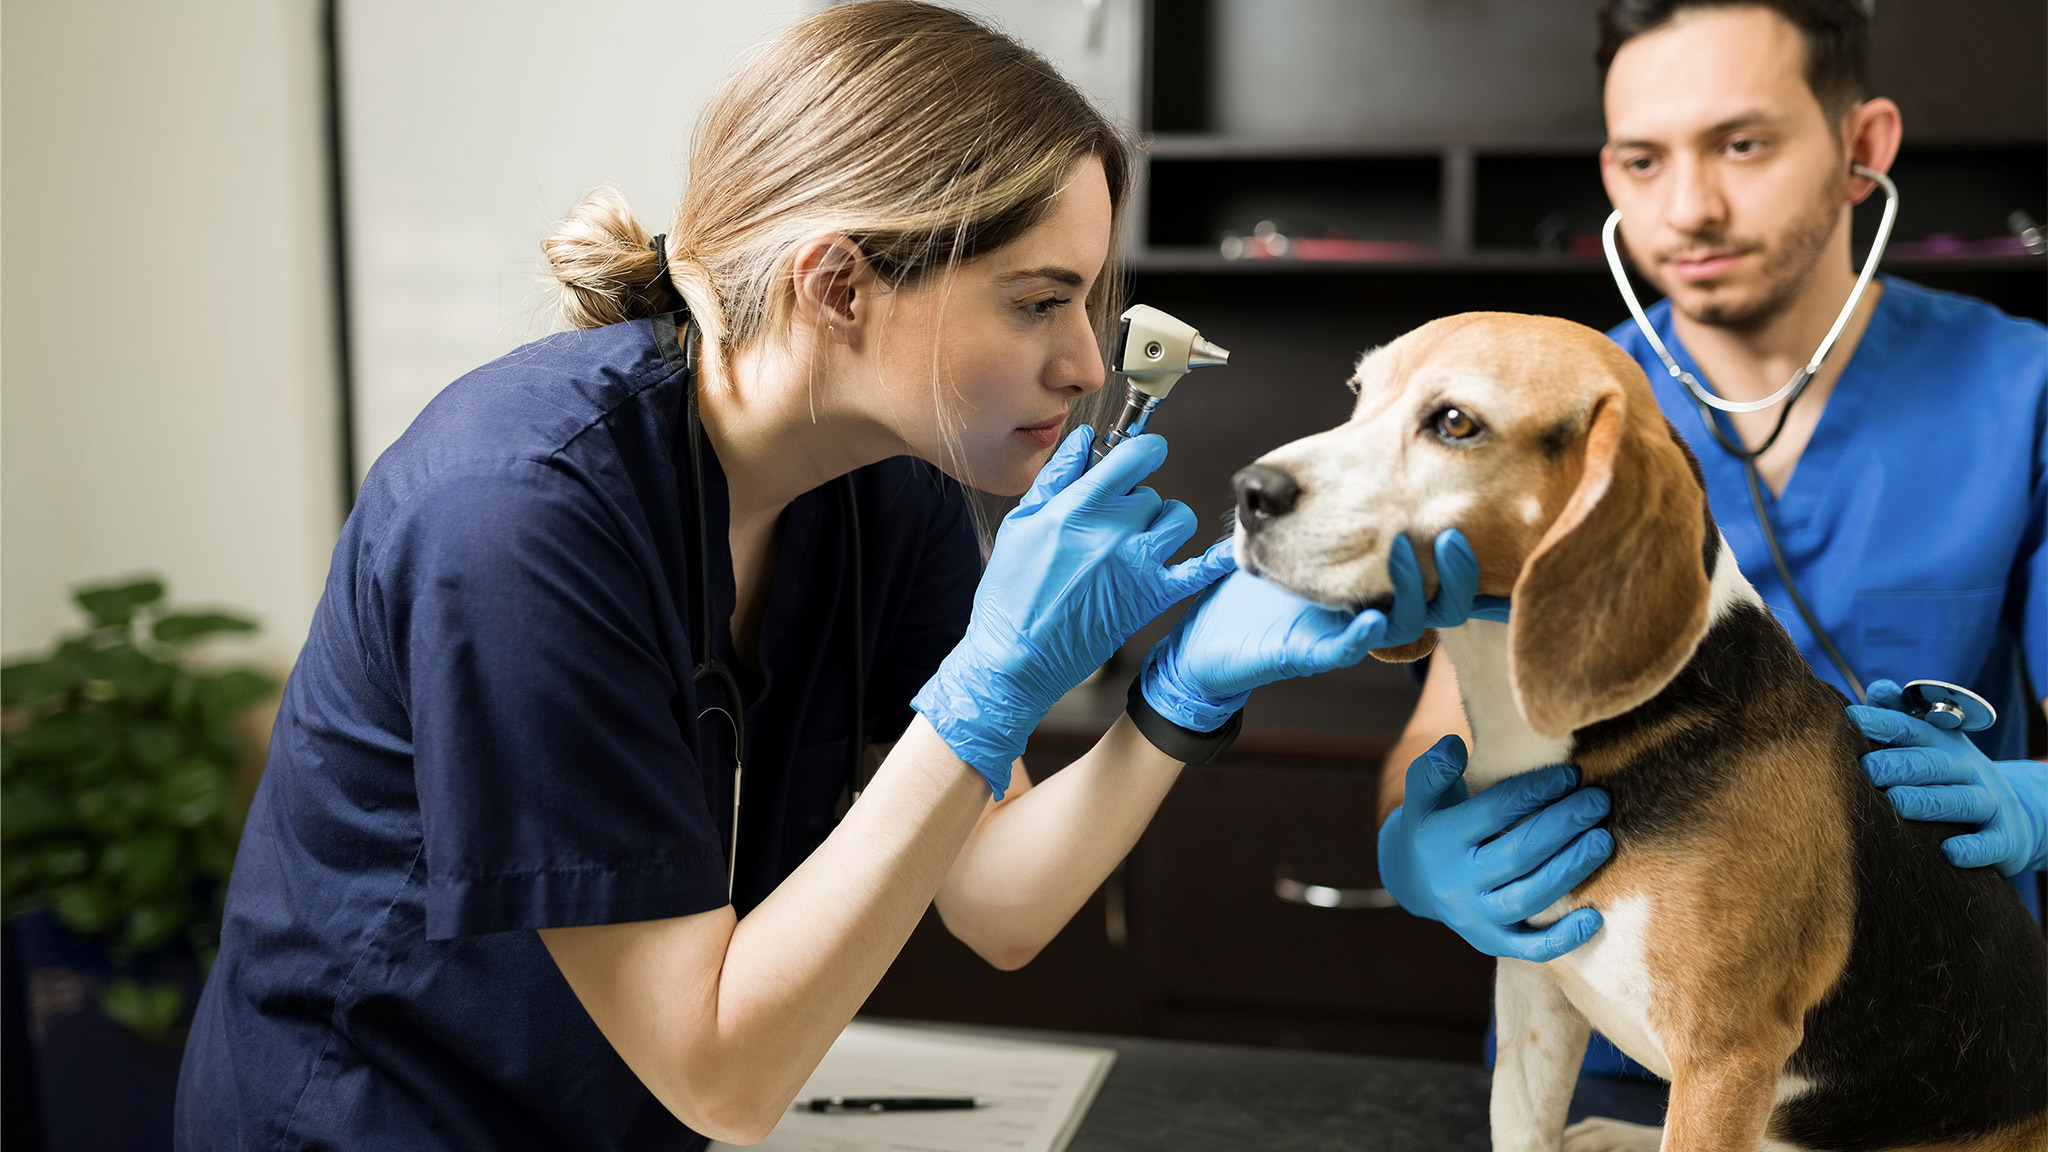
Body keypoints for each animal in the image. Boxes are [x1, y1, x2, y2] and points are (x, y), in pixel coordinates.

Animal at [1228, 311, 2048, 1147]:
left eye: (1455, 423)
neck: (1623, 729)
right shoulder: (1532, 991)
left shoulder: (1726, 1059)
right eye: (1360, 394)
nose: (1250, 491)